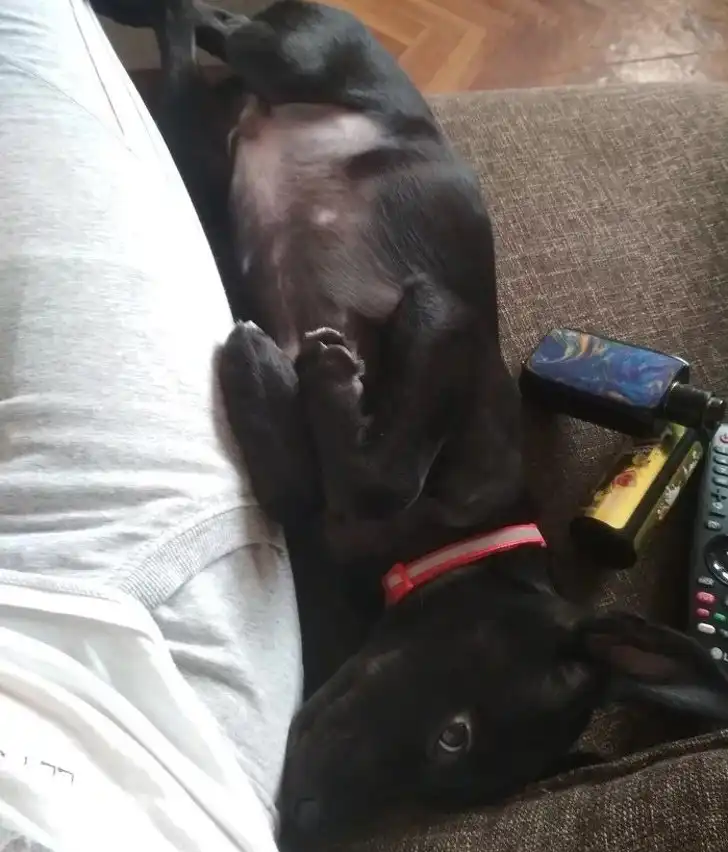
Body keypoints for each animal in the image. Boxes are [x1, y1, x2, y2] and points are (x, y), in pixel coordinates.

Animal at [95, 0, 728, 844]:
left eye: (446, 783)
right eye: (453, 735)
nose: (302, 823)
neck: (451, 544)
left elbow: (308, 490)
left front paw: (270, 381)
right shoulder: (440, 316)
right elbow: (383, 478)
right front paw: (321, 378)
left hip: (218, 138)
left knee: (187, 86)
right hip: (294, 56)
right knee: (214, 24)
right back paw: (143, 13)